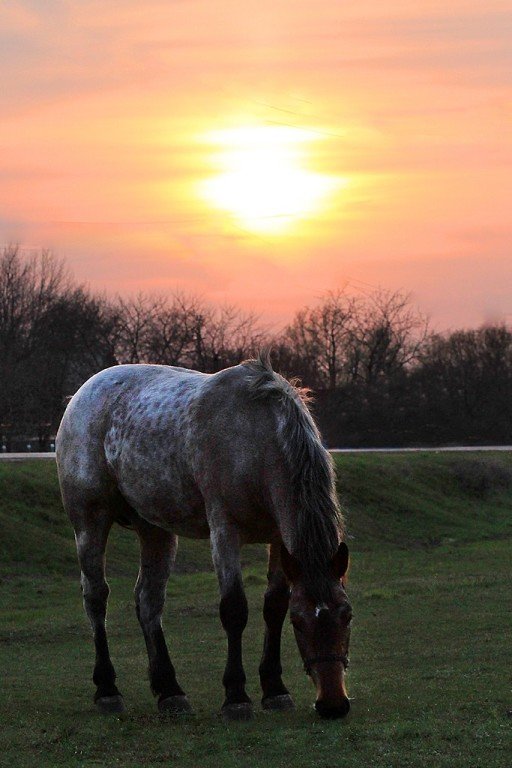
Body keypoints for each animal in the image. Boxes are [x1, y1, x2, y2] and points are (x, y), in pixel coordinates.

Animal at [56, 354, 352, 720]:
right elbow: (234, 609)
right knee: (96, 597)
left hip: (155, 530)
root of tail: (81, 394)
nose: (333, 704)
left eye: (347, 614)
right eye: (299, 623)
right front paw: (236, 696)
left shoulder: (280, 539)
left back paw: (169, 690)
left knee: (148, 602)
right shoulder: (224, 531)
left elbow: (273, 606)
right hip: (90, 522)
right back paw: (107, 689)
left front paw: (274, 689)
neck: (255, 438)